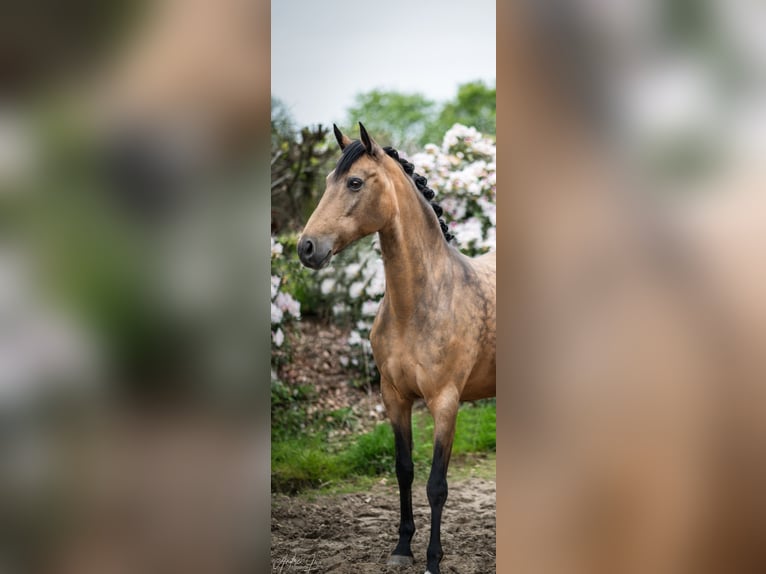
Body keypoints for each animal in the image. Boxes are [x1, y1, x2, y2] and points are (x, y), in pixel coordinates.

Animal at [296, 122, 496, 574]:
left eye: (354, 182)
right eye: (328, 180)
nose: (306, 248)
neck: (422, 302)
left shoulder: (445, 403)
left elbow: (436, 485)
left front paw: (433, 560)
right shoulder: (394, 398)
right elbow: (404, 470)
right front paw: (403, 547)